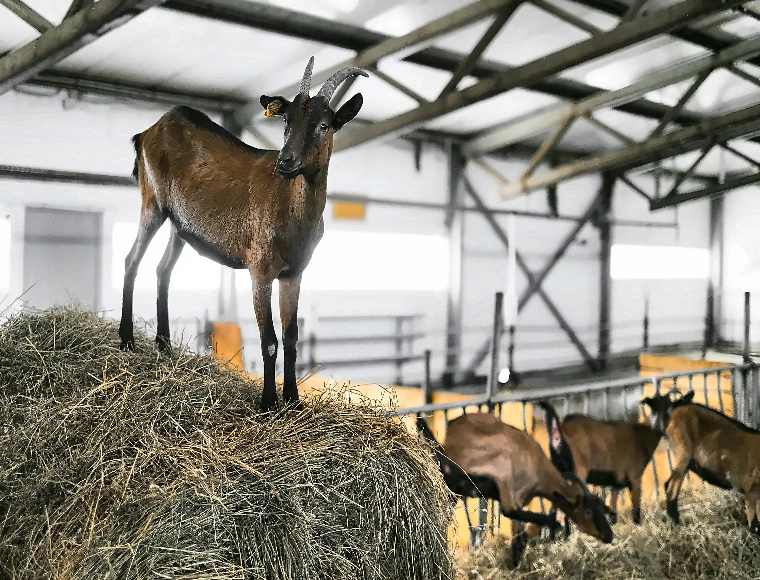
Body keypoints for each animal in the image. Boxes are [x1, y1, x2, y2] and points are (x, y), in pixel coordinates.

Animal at [118, 57, 367, 412]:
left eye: (324, 124)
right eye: (286, 120)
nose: (285, 161)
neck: (291, 208)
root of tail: (150, 130)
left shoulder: (294, 273)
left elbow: (291, 338)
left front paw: (293, 401)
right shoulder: (259, 268)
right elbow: (270, 341)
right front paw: (268, 403)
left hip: (180, 224)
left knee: (162, 270)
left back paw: (164, 345)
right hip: (152, 201)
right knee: (131, 260)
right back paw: (126, 341)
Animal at [417, 414, 613, 566]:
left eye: (600, 508)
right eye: (587, 511)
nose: (609, 535)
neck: (539, 469)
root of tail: (448, 447)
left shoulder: (520, 499)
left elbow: (518, 538)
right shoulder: (515, 490)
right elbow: (514, 517)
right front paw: (553, 524)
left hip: (454, 492)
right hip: (500, 465)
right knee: (507, 509)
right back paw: (552, 523)